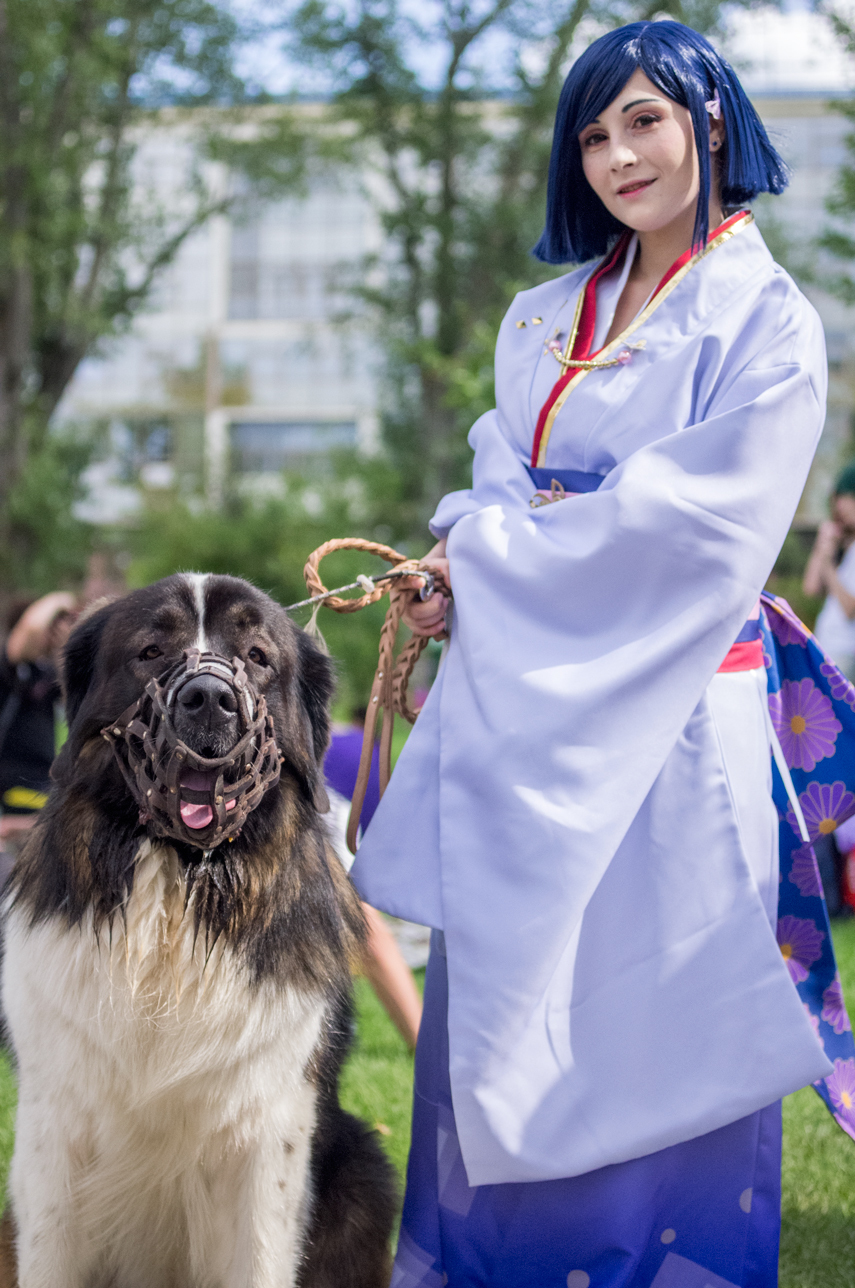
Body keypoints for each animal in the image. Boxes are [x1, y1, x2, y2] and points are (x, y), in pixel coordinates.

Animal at [0, 574, 396, 1288]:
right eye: (151, 651)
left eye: (258, 657)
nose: (210, 697)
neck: (177, 896)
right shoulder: (53, 1128)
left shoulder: (270, 1136)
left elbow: (261, 1258)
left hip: (366, 1167)